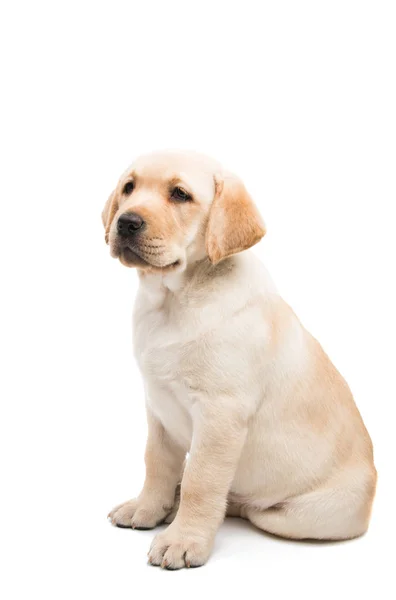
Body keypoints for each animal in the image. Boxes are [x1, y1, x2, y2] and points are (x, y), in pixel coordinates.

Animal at [103, 151, 376, 572]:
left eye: (180, 194)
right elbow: (157, 464)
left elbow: (201, 481)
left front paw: (184, 539)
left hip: (296, 515)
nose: (126, 221)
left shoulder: (220, 413)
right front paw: (147, 508)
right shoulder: (158, 406)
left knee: (245, 506)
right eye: (128, 188)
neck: (173, 299)